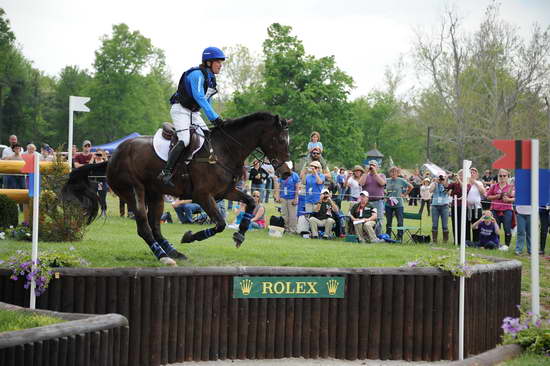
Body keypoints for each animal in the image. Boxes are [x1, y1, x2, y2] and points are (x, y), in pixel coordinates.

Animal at [62, 111, 296, 266]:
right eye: (279, 140)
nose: (286, 172)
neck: (224, 150)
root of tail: (113, 157)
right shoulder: (203, 195)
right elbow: (220, 224)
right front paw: (190, 236)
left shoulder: (225, 192)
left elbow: (252, 202)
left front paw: (240, 234)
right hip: (133, 190)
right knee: (144, 226)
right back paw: (163, 256)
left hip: (155, 194)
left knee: (155, 226)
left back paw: (172, 252)